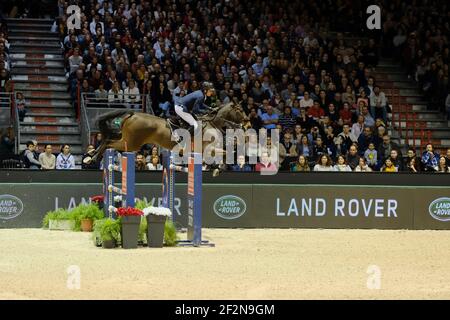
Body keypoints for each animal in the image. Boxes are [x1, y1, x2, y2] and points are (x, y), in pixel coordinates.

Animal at [88, 102, 248, 164]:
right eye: (239, 110)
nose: (247, 123)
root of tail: (132, 114)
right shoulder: (208, 149)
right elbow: (225, 154)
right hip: (132, 143)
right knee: (110, 142)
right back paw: (93, 158)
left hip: (127, 139)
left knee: (109, 138)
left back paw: (92, 154)